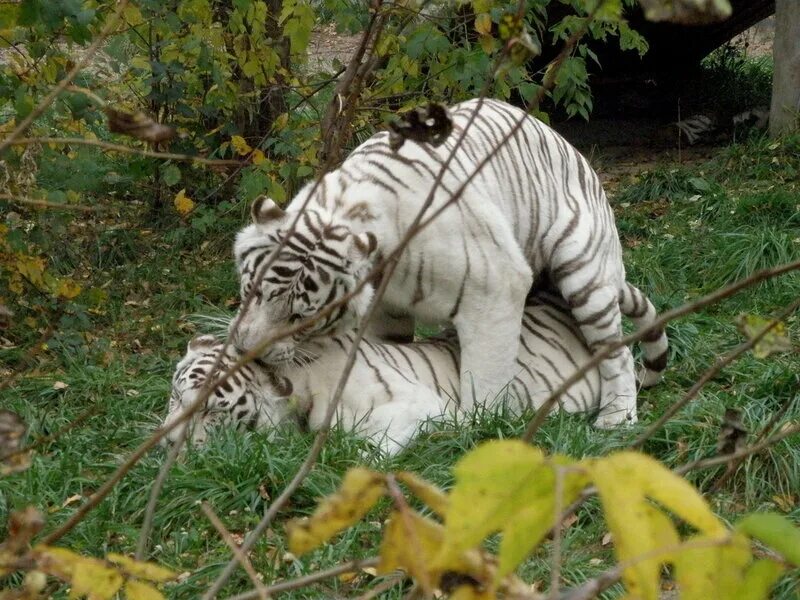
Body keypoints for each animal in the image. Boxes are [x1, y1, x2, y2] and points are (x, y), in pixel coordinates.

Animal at [231, 97, 668, 426]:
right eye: (252, 292)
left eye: (300, 318)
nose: (245, 351)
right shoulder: (381, 310)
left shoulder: (495, 289)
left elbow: (486, 379)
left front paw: (479, 429)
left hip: (583, 272)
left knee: (616, 351)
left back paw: (615, 419)